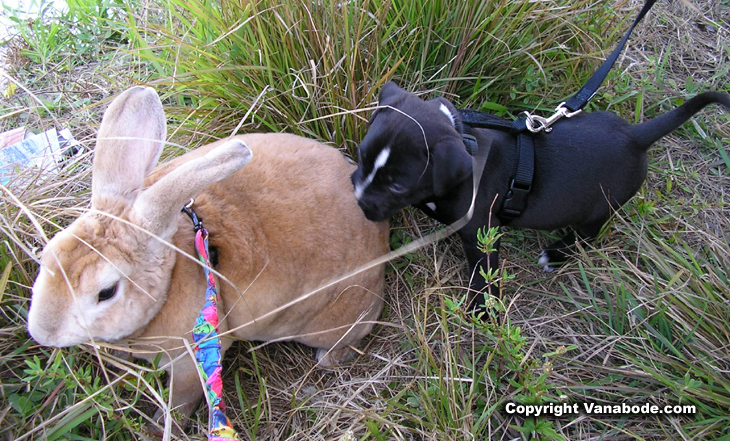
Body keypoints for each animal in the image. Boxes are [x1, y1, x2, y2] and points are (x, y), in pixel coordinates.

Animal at [27, 85, 386, 416]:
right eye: (47, 256)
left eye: (106, 292)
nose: (42, 331)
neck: (170, 279)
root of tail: (380, 237)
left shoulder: (190, 361)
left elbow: (180, 401)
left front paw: (164, 424)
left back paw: (330, 356)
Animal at [350, 81, 724, 310]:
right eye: (362, 155)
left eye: (398, 185)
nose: (358, 199)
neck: (465, 139)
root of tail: (637, 136)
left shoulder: (482, 232)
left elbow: (484, 274)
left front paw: (484, 310)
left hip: (597, 210)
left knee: (588, 236)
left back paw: (556, 255)